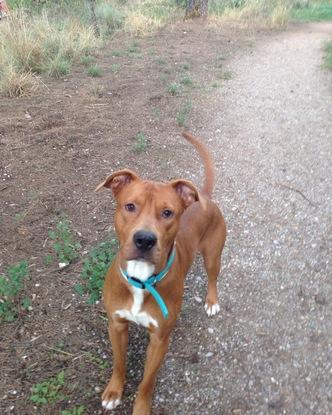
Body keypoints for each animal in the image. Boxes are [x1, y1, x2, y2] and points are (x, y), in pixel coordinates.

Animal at [94, 132, 227, 414]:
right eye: (129, 206)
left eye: (168, 213)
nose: (145, 239)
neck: (142, 280)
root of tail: (204, 195)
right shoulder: (116, 325)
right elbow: (119, 363)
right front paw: (113, 391)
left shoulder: (159, 339)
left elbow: (147, 381)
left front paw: (141, 407)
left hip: (213, 255)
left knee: (212, 277)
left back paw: (211, 301)